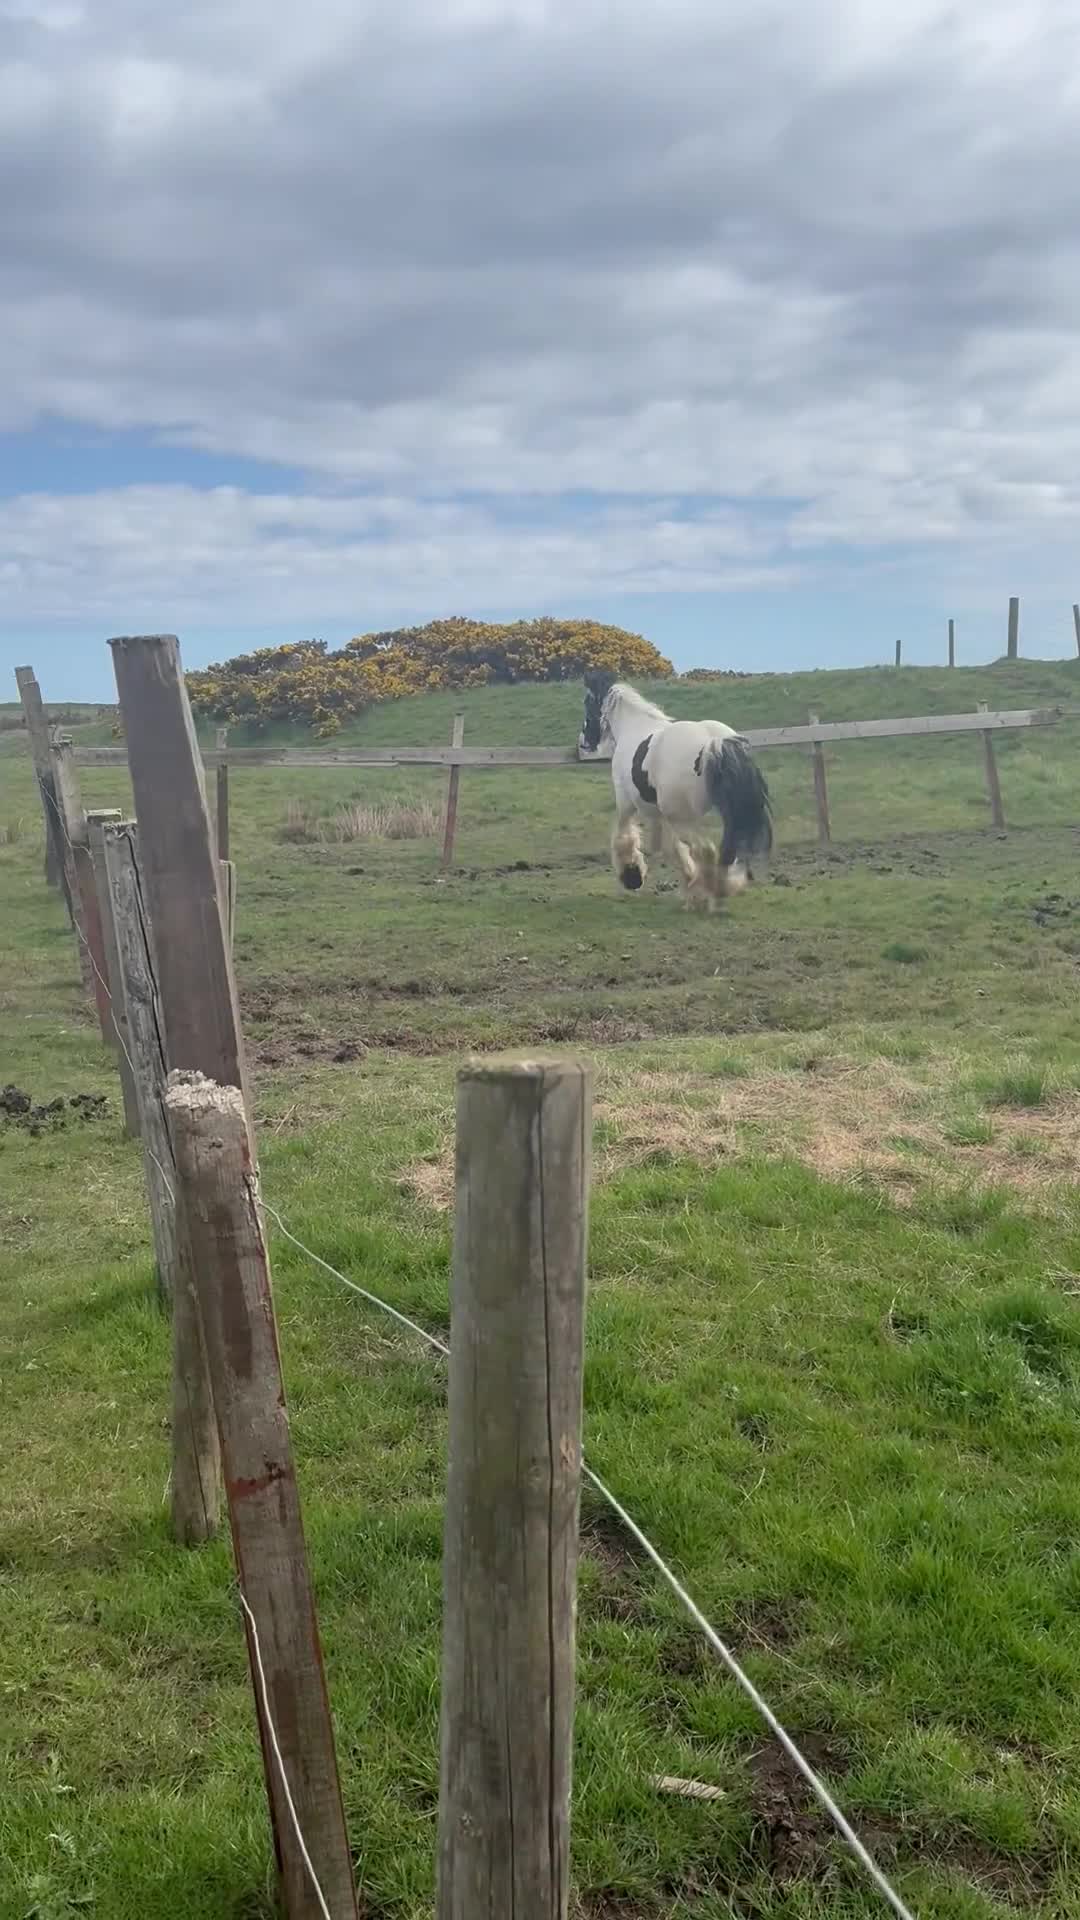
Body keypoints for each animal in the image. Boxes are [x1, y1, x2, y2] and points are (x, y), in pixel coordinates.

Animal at [579, 671, 773, 908]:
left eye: (588, 703)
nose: (584, 741)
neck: (632, 726)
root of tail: (714, 743)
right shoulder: (662, 816)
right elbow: (673, 849)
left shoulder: (627, 802)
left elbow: (625, 837)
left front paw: (632, 876)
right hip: (711, 815)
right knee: (724, 851)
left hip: (682, 819)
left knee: (707, 850)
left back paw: (708, 895)